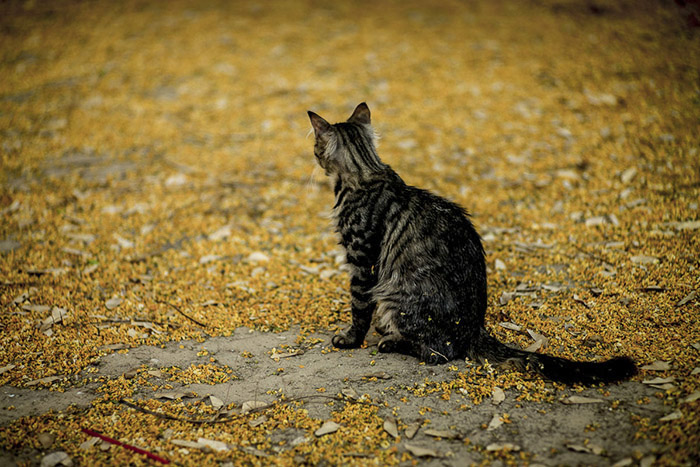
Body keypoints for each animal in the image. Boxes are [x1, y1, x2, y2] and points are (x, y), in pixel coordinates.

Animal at [306, 102, 636, 384]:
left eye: (316, 148)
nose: (314, 155)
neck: (365, 171)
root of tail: (475, 328)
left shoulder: (361, 259)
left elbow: (359, 306)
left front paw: (350, 339)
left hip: (395, 293)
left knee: (438, 351)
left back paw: (393, 341)